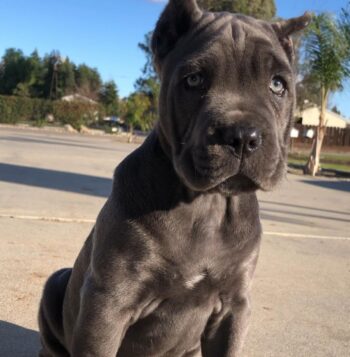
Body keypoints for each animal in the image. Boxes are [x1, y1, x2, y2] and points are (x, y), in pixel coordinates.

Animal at [38, 1, 310, 354]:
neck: (206, 204)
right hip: (56, 282)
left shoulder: (234, 306)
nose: (242, 136)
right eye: (193, 80)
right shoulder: (108, 302)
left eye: (278, 84)